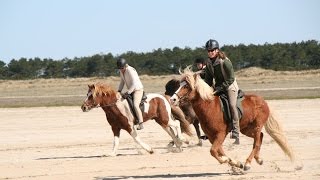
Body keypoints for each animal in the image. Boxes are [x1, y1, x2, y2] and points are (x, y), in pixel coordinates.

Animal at [170, 68, 298, 172]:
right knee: (260, 137)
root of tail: (263, 101)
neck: (210, 107)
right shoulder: (212, 137)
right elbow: (218, 151)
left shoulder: (221, 134)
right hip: (246, 129)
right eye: (179, 85)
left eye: (186, 86)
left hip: (256, 126)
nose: (172, 99)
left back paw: (248, 163)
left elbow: (213, 151)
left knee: (257, 141)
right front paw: (234, 162)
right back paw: (258, 160)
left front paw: (228, 160)